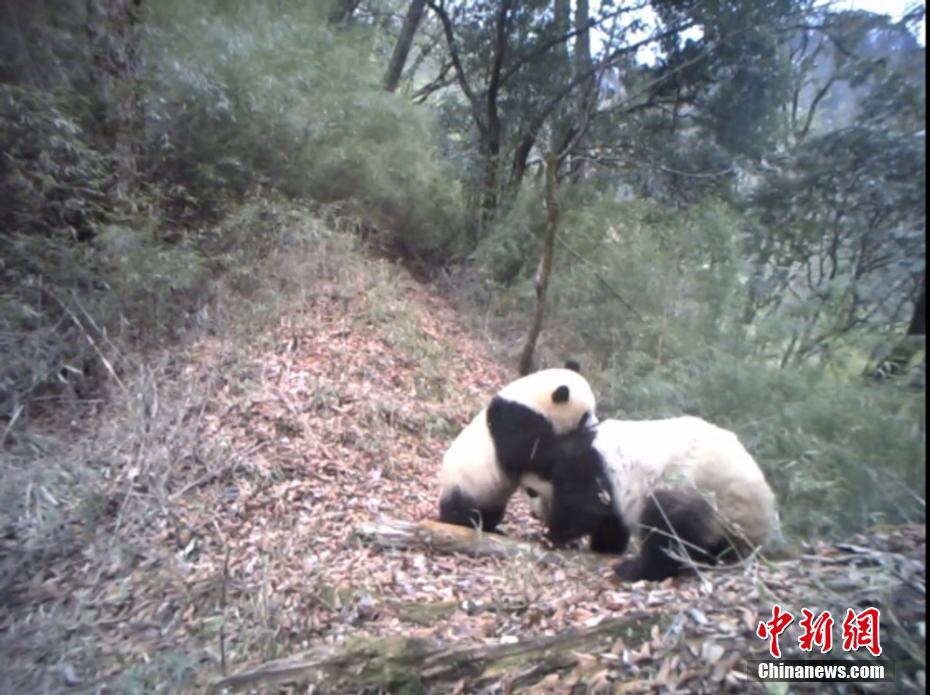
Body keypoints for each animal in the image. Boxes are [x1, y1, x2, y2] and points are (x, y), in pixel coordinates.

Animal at [436, 364, 596, 532]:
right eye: (585, 416)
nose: (594, 424)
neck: (534, 398)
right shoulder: (516, 418)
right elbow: (524, 454)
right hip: (464, 486)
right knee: (462, 511)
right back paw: (463, 523)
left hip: (492, 498)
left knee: (492, 513)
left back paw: (492, 528)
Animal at [520, 416, 776, 584]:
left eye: (530, 492)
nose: (533, 513)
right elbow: (609, 519)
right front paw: (604, 546)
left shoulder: (586, 465)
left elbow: (581, 509)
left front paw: (549, 536)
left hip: (690, 484)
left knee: (667, 530)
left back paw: (634, 570)